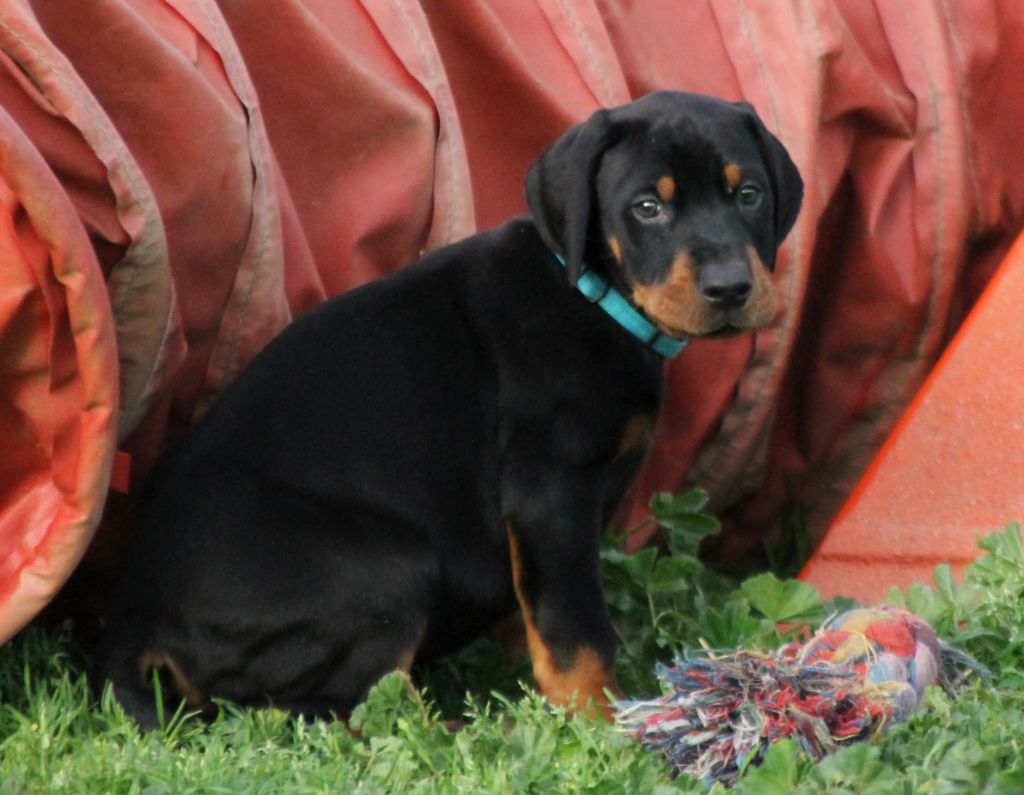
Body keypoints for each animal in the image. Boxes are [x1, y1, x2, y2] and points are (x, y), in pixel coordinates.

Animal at [91, 91, 802, 727]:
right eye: (648, 208)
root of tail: (133, 619)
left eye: (748, 195)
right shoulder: (551, 489)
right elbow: (576, 627)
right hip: (389, 567)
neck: (594, 296)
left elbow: (533, 604)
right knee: (335, 712)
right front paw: (601, 723)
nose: (730, 288)